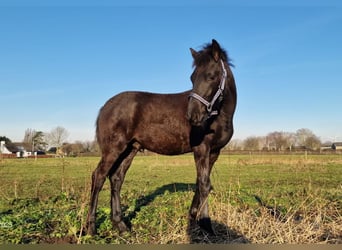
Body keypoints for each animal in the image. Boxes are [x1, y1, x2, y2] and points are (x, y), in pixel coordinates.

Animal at [87, 39, 236, 234]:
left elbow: (201, 183)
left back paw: (121, 225)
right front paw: (206, 224)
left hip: (130, 149)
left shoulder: (214, 152)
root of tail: (106, 106)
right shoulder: (201, 149)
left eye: (211, 76)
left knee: (116, 179)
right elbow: (204, 184)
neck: (218, 115)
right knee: (98, 177)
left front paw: (193, 217)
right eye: (192, 78)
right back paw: (91, 228)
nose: (192, 116)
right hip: (113, 149)